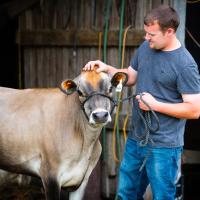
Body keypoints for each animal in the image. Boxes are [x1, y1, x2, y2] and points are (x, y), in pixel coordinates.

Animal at [0, 68, 128, 199]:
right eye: (80, 92)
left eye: (110, 88)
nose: (100, 115)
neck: (85, 145)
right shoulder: (50, 175)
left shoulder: (82, 180)